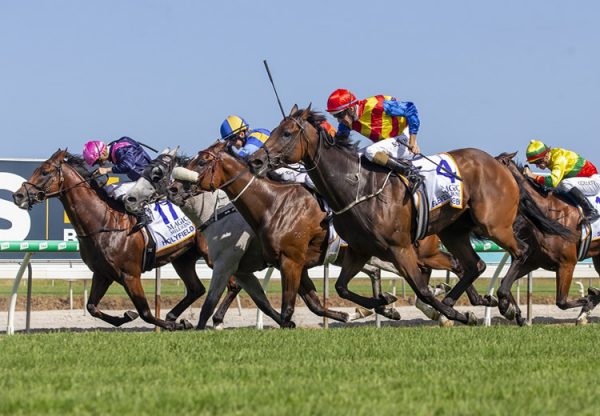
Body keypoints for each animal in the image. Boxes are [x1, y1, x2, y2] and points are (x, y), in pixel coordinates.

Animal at [11, 148, 226, 330]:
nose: (18, 195)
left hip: (211, 254)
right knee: (197, 289)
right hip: (183, 258)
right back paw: (177, 316)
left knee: (228, 282)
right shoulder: (102, 273)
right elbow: (92, 307)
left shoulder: (130, 275)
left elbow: (145, 312)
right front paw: (127, 317)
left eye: (45, 172)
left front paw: (171, 325)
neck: (103, 222)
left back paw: (210, 319)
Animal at [166, 141, 494, 326]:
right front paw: (366, 310)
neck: (270, 203)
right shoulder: (287, 264)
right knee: (449, 268)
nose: (174, 188)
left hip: (414, 250)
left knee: (451, 266)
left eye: (203, 161)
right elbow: (309, 303)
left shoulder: (279, 262)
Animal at [247, 105, 572, 324]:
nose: (256, 160)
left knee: (520, 251)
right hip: (453, 231)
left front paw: (454, 313)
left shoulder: (400, 248)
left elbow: (423, 290)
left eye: (286, 133)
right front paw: (383, 301)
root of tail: (498, 164)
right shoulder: (361, 250)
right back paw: (459, 300)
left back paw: (505, 303)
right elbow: (342, 287)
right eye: (273, 131)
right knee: (475, 265)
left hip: (494, 225)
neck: (356, 186)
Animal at [492, 153, 600, 324]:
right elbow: (504, 285)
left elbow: (562, 302)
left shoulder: (567, 264)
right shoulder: (532, 262)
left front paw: (588, 302)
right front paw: (513, 312)